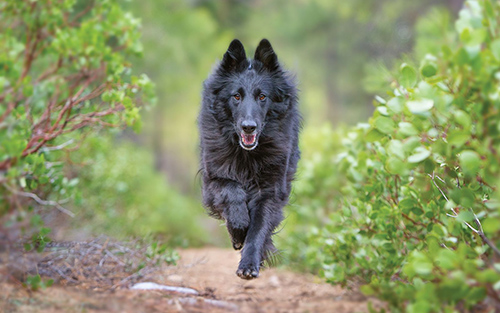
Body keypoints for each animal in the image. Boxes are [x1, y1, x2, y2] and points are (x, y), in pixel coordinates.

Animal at [199, 38, 300, 278]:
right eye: (236, 96)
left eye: (262, 96)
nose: (248, 127)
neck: (246, 154)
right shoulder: (213, 177)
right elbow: (232, 190)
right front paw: (238, 229)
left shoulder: (270, 190)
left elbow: (258, 228)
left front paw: (249, 264)